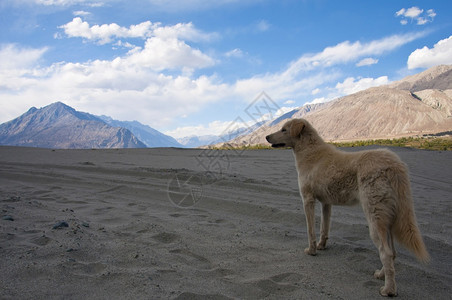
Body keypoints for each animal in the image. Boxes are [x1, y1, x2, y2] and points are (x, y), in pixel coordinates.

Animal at [266, 118, 430, 296]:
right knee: (392, 252)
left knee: (385, 253)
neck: (309, 151)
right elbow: (324, 228)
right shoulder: (326, 202)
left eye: (284, 129)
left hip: (375, 216)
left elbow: (310, 231)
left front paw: (311, 251)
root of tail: (395, 164)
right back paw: (381, 274)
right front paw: (321, 246)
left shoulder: (307, 199)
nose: (266, 137)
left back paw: (388, 290)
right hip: (389, 218)